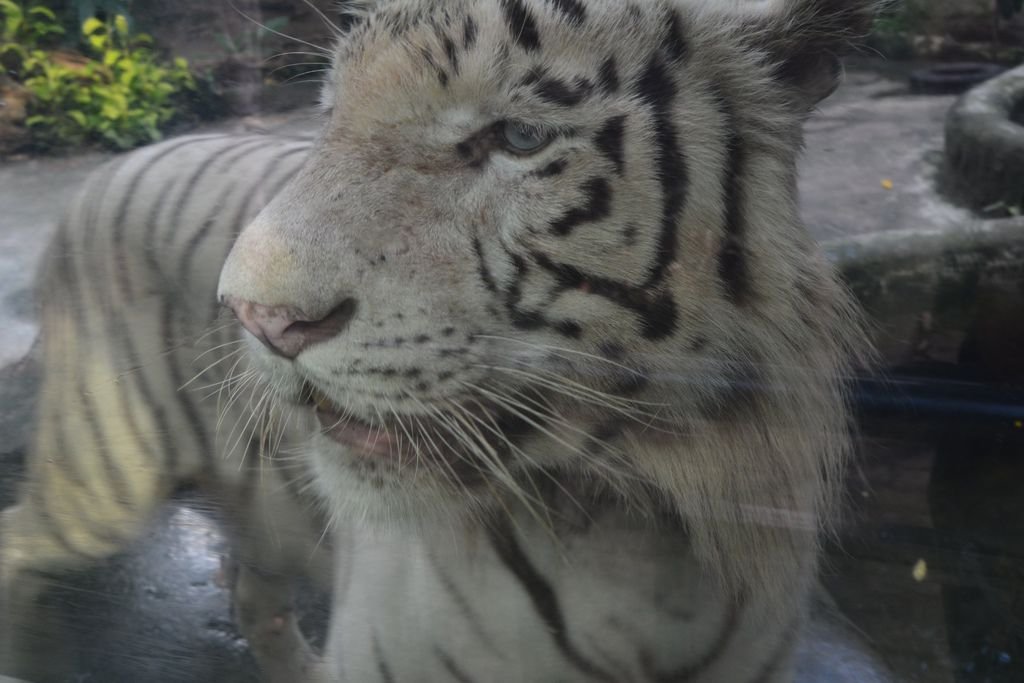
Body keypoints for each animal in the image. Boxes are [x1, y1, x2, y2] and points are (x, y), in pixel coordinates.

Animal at [4, 0, 876, 679]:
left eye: (519, 137)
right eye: (330, 117)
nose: (258, 316)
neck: (636, 537)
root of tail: (109, 169)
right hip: (104, 466)